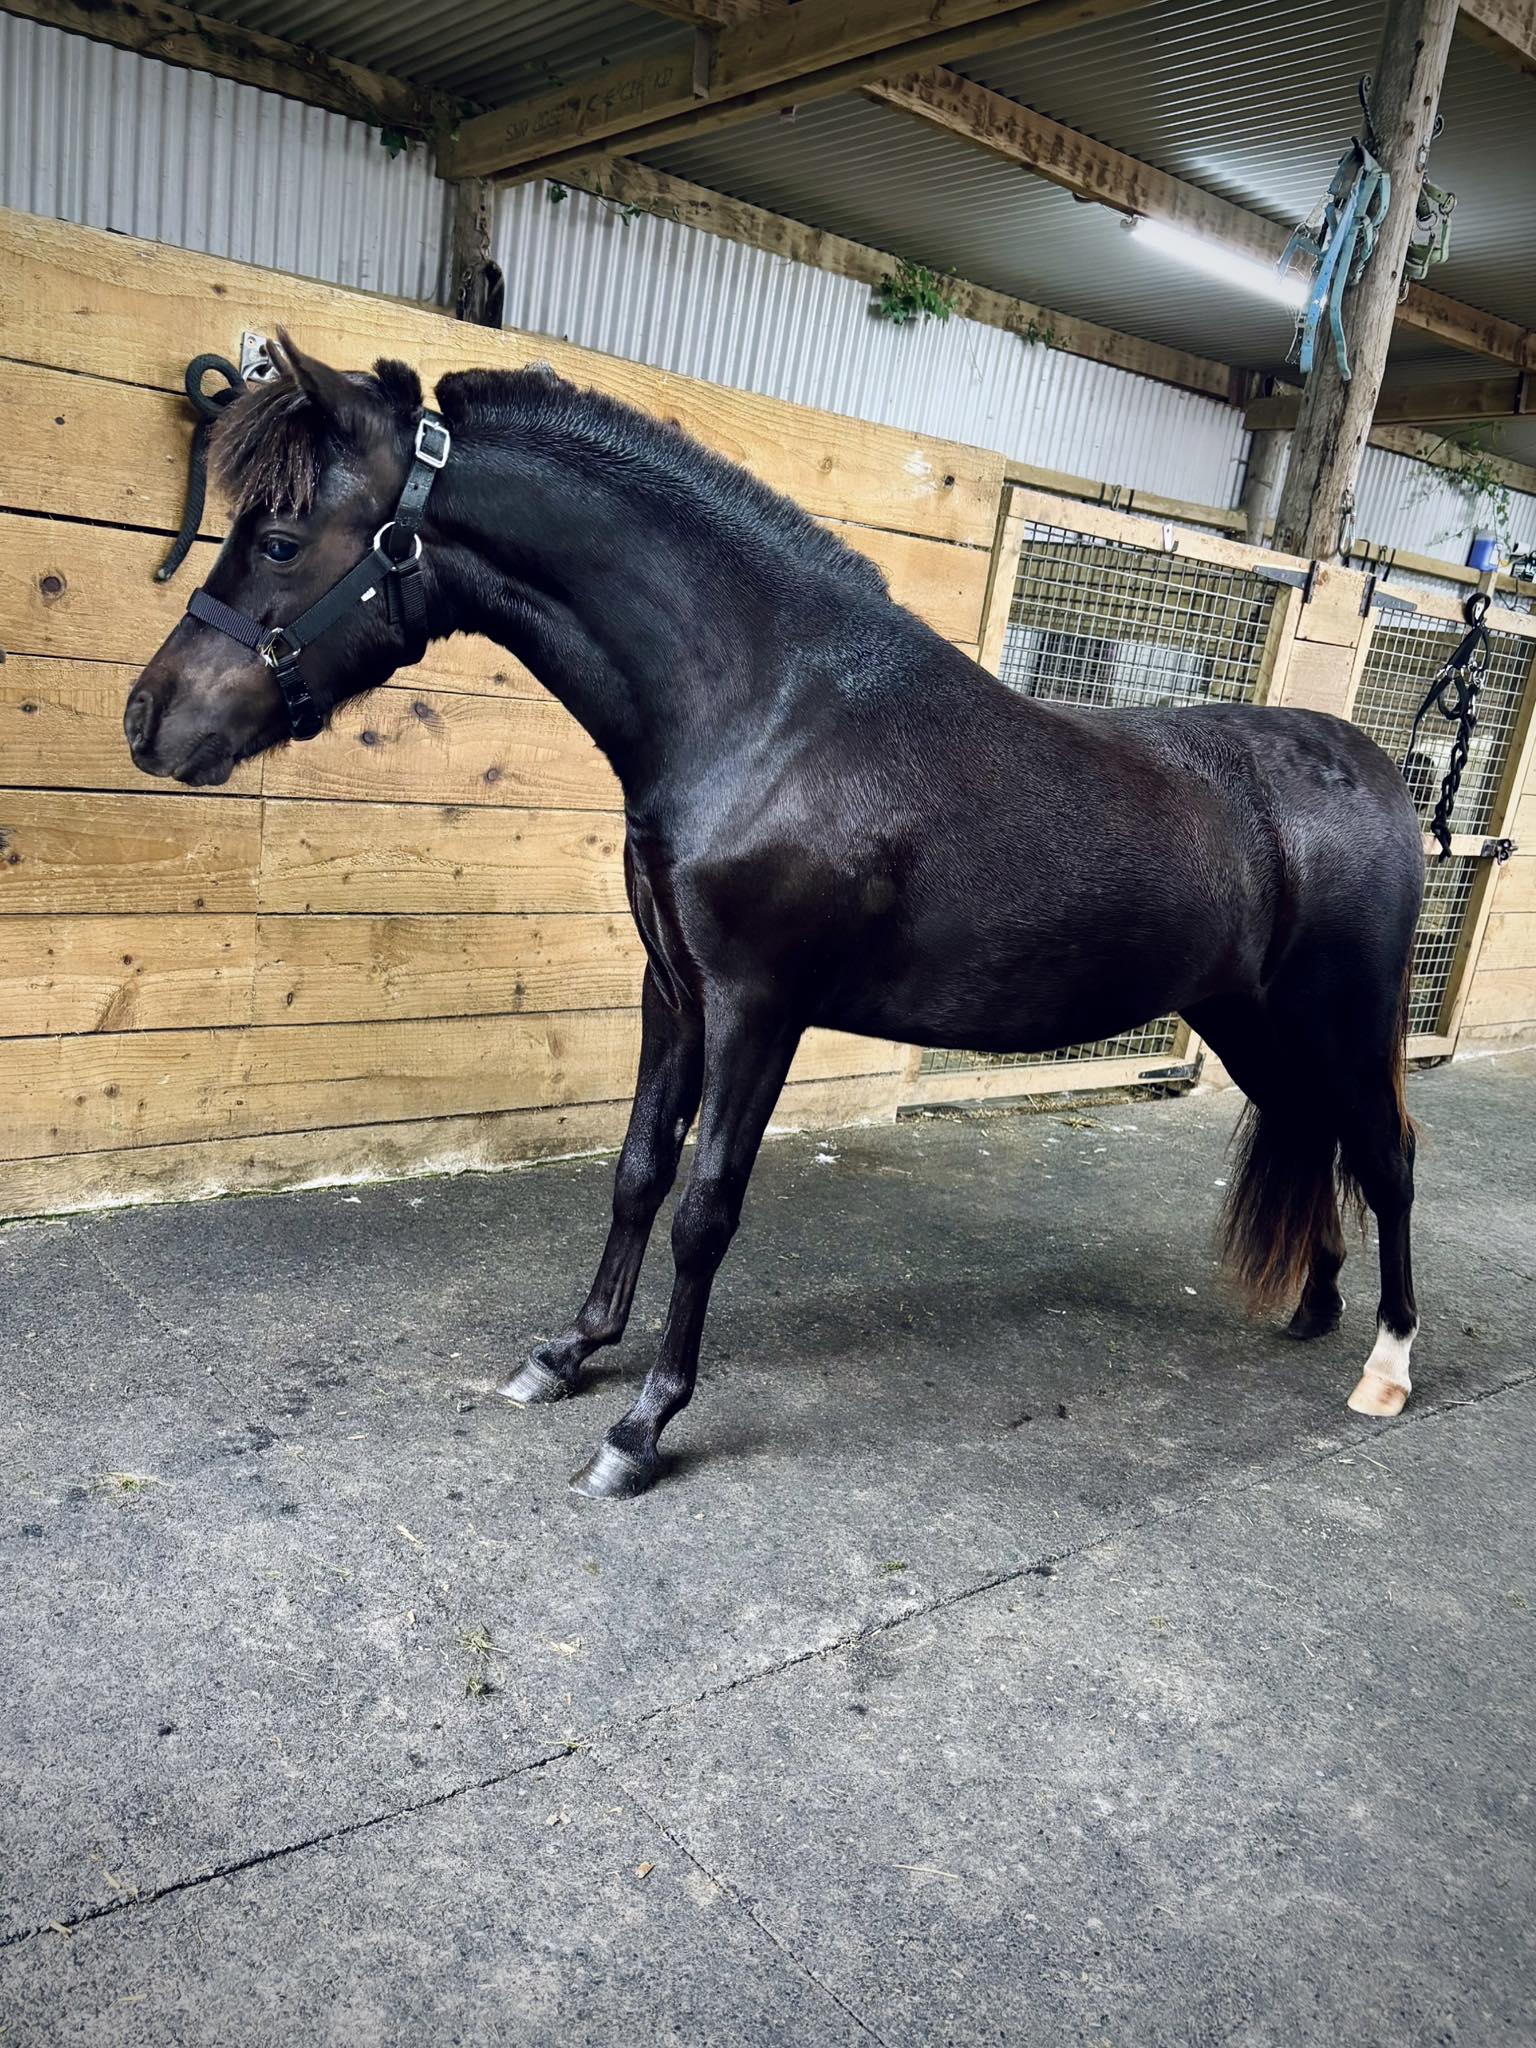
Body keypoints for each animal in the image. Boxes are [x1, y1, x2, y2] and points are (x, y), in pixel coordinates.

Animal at [123, 336, 1426, 1500]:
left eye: (282, 539)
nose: (148, 719)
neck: (766, 711)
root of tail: (1371, 767)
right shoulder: (674, 989)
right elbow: (639, 1169)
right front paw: (570, 1350)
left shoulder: (761, 1009)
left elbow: (706, 1208)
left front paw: (643, 1425)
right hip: (1252, 1023)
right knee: (1321, 1134)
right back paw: (1314, 1305)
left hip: (1343, 1020)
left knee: (1389, 1154)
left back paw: (1387, 1367)